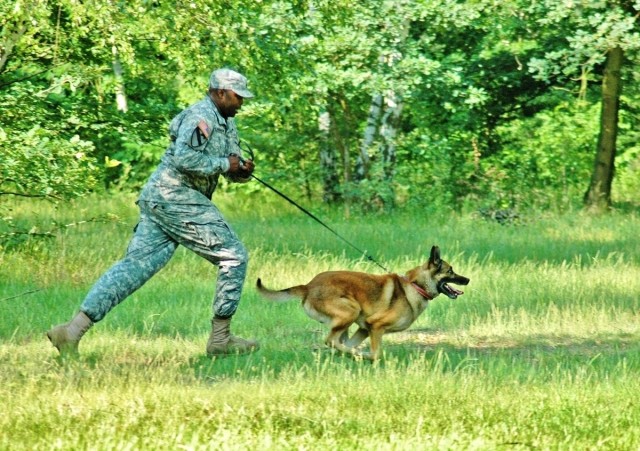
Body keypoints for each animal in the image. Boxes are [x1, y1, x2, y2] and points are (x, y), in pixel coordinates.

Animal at [256, 245, 470, 362]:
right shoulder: (375, 326)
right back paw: (356, 355)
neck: (415, 286)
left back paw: (349, 355)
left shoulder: (364, 329)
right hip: (350, 311)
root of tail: (308, 286)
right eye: (450, 271)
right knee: (330, 340)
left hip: (347, 321)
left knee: (338, 344)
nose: (467, 280)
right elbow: (376, 354)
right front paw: (367, 357)